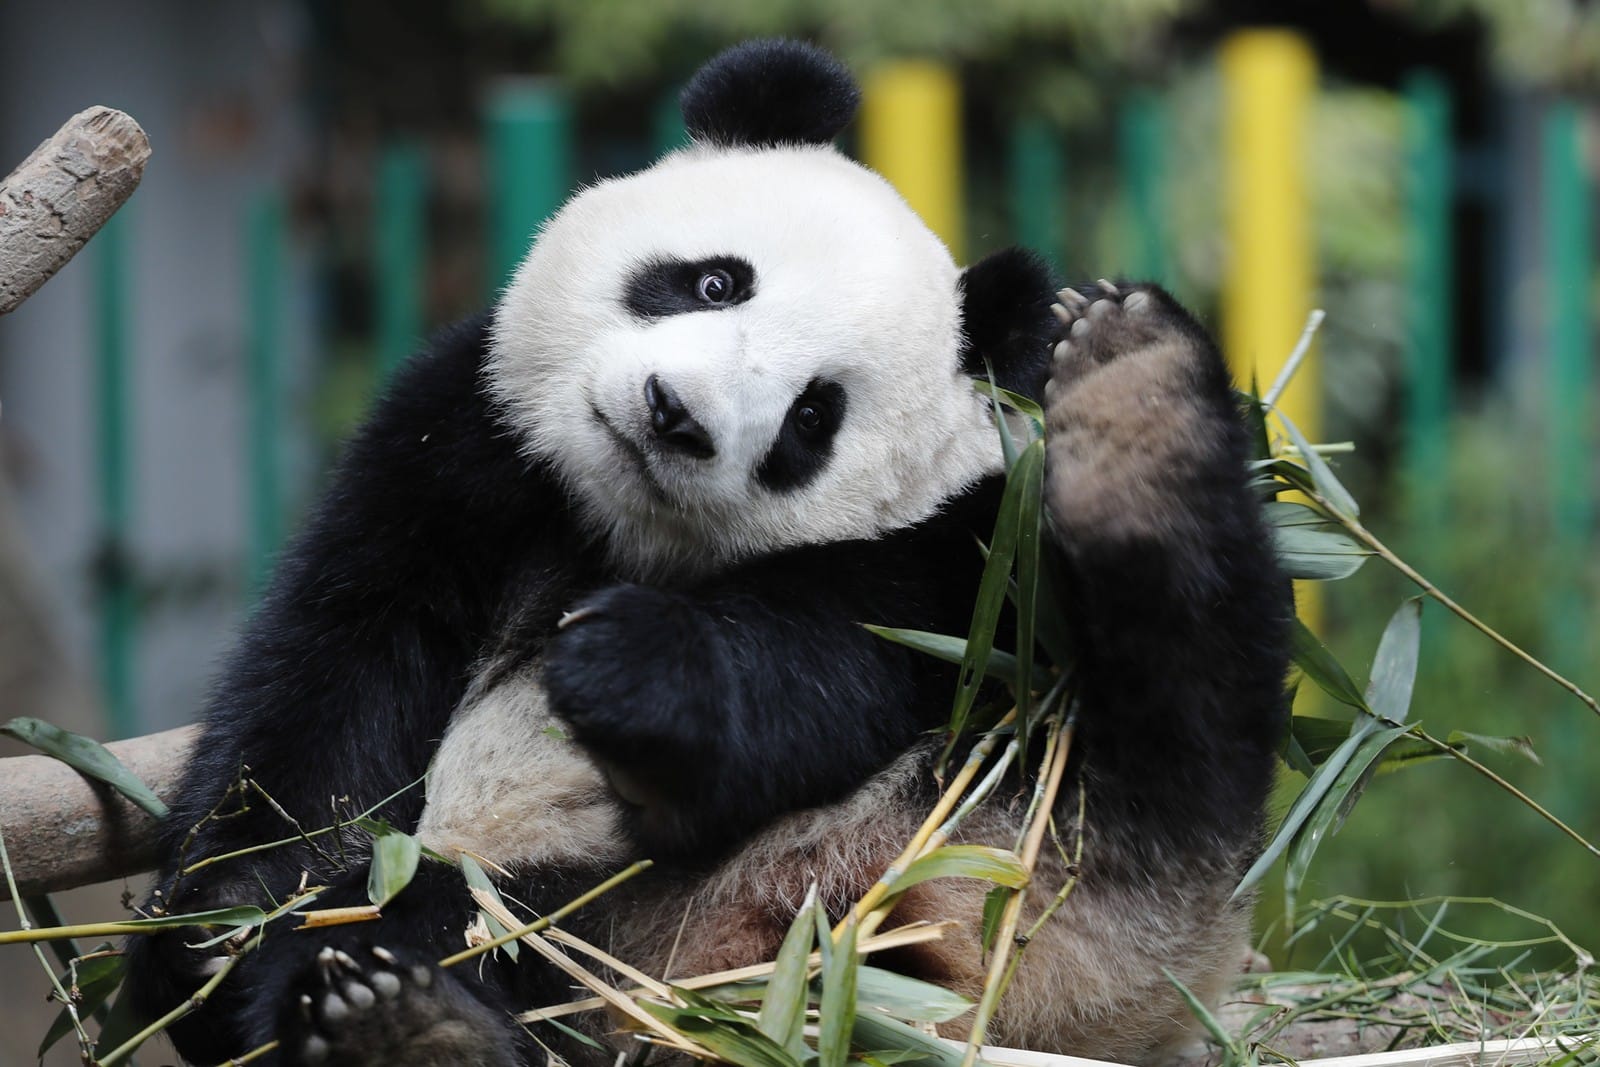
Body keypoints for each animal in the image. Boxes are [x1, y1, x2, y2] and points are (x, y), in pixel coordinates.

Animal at [125, 39, 1289, 1067]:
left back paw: (1136, 396)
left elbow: (825, 671)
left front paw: (630, 664)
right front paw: (220, 933)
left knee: (1188, 703)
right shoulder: (459, 449)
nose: (674, 415)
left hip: (1019, 782)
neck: (615, 530)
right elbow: (343, 678)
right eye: (716, 282)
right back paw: (401, 1018)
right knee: (451, 922)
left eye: (815, 413)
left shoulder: (943, 554)